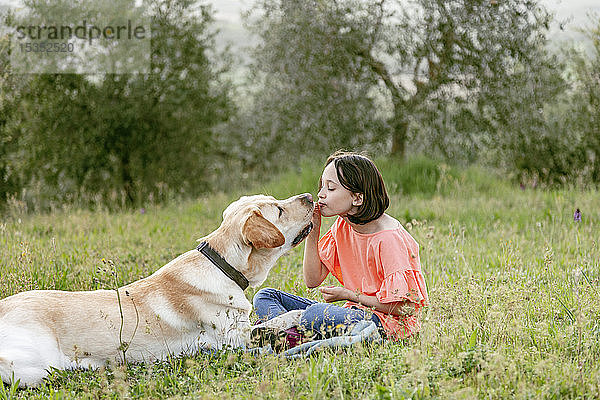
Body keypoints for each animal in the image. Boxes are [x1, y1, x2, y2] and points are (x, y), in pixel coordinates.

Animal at [1, 194, 314, 388]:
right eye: (279, 210)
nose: (310, 196)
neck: (221, 264)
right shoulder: (234, 339)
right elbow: (277, 321)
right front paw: (300, 315)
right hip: (34, 363)